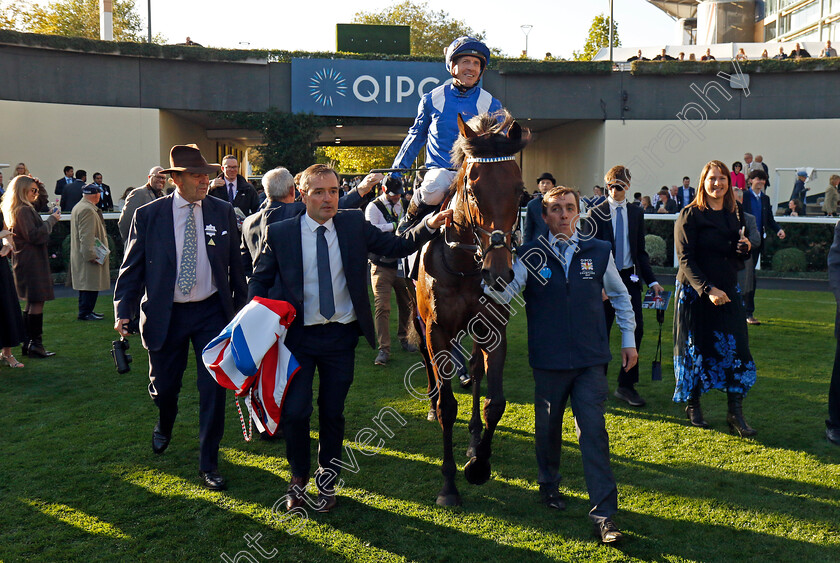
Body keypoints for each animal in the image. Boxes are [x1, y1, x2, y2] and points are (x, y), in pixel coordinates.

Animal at [416, 110, 528, 506]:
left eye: (519, 190)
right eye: (473, 190)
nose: (499, 272)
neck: (465, 263)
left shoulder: (494, 327)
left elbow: (495, 401)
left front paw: (478, 463)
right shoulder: (436, 329)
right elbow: (449, 407)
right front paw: (448, 486)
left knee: (477, 373)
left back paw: (474, 441)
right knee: (427, 362)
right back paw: (431, 403)